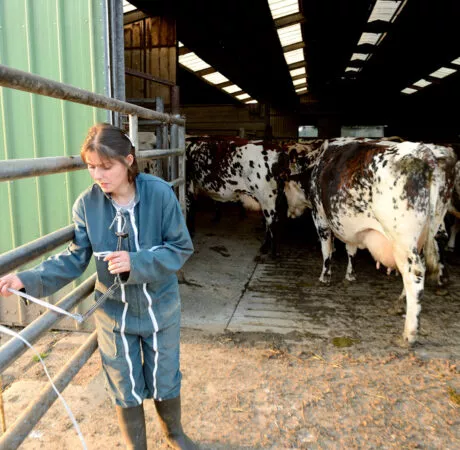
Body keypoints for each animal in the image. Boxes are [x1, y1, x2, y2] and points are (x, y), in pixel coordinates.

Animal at [284, 138, 456, 344]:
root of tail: (424, 153)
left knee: (414, 274)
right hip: (428, 231)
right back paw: (400, 304)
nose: (288, 213)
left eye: (285, 189)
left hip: (403, 240)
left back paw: (409, 333)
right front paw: (350, 275)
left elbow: (326, 249)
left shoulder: (320, 216)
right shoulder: (349, 225)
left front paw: (325, 276)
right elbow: (351, 250)